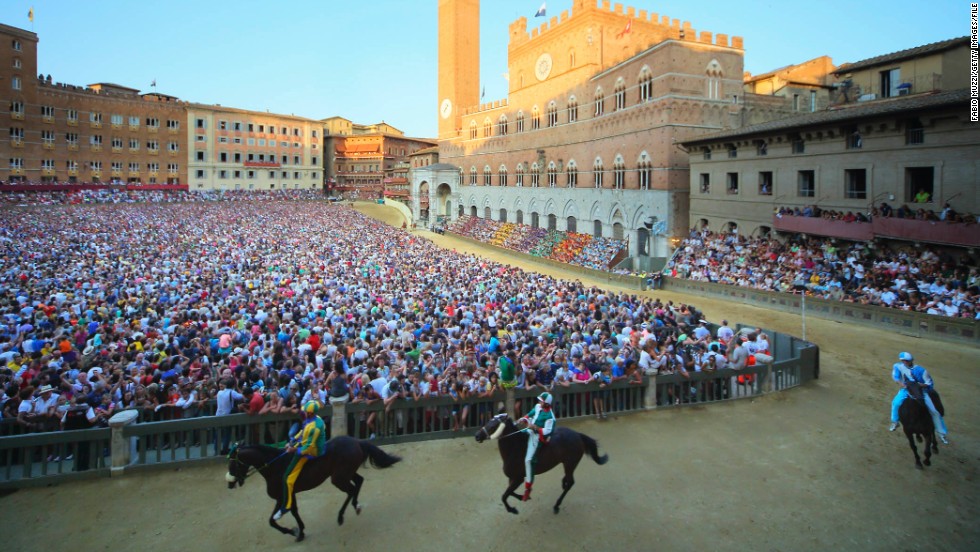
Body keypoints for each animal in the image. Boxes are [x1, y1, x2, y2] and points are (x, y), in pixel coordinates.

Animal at [228, 438, 400, 540]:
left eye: (232, 463)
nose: (230, 484)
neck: (275, 466)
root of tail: (356, 441)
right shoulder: (290, 495)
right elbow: (294, 512)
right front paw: (300, 531)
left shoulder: (281, 497)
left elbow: (272, 521)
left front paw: (293, 532)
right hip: (345, 473)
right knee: (359, 482)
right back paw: (356, 505)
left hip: (339, 478)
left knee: (351, 490)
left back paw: (341, 516)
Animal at [474, 412, 604, 516]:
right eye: (488, 421)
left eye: (493, 425)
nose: (477, 436)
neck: (515, 448)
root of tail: (577, 435)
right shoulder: (512, 478)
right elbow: (509, 493)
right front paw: (523, 496)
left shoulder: (518, 478)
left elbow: (504, 495)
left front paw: (512, 509)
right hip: (568, 464)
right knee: (567, 480)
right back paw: (563, 483)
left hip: (570, 463)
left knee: (571, 482)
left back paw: (556, 505)